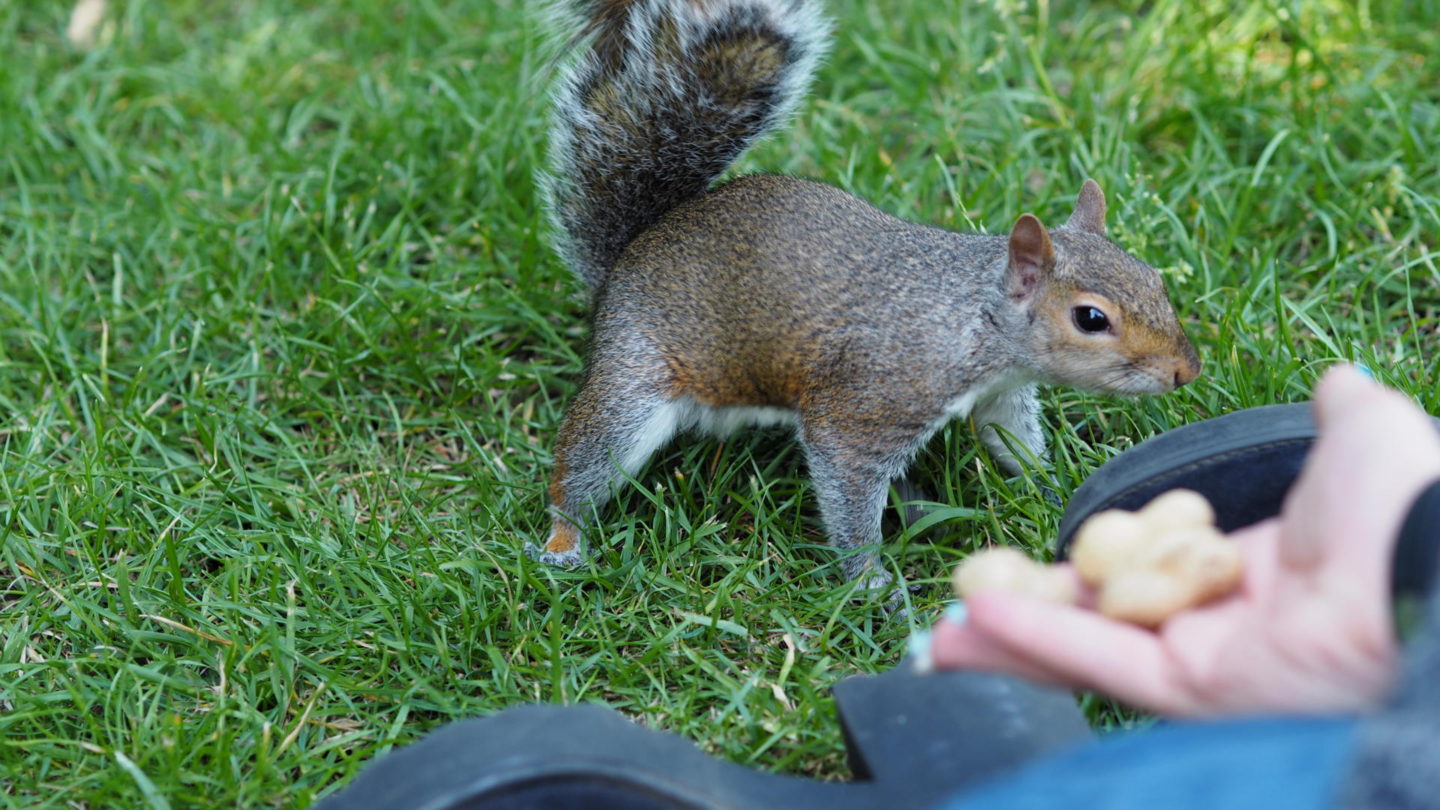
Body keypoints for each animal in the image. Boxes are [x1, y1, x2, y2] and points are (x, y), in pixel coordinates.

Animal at [524, 0, 1198, 599]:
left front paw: (1057, 491)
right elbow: (847, 488)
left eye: (1154, 279)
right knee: (584, 465)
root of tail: (628, 256)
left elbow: (1013, 445)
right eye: (1091, 318)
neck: (969, 318)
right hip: (633, 379)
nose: (1186, 372)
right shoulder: (864, 408)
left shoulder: (1001, 395)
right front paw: (871, 582)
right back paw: (563, 543)